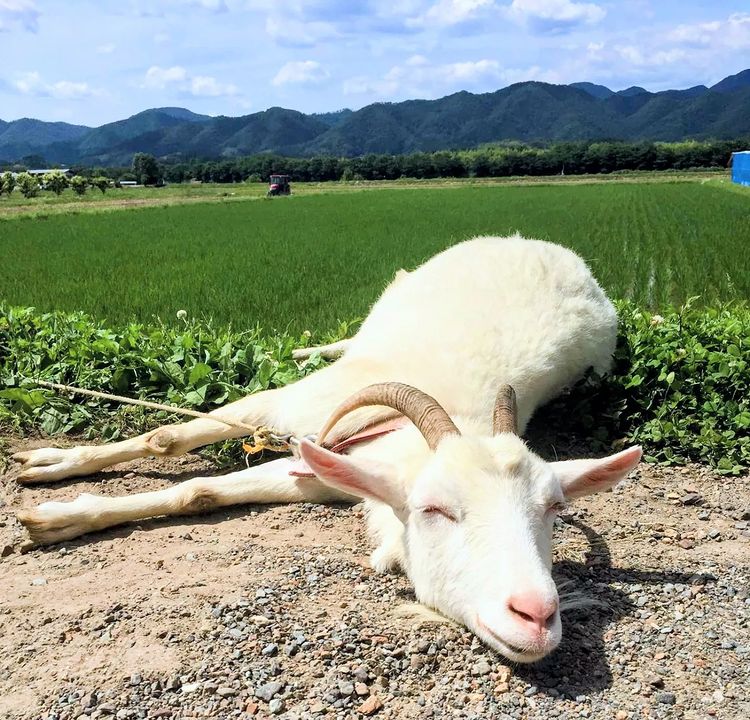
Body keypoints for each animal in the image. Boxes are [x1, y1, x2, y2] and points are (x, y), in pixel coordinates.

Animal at [13, 236, 640, 664]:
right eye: (434, 509)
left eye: (553, 510)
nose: (536, 615)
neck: (396, 429)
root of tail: (564, 255)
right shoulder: (283, 407)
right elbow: (166, 438)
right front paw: (54, 476)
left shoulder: (321, 470)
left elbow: (202, 492)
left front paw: (61, 514)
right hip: (399, 291)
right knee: (349, 334)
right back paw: (304, 347)